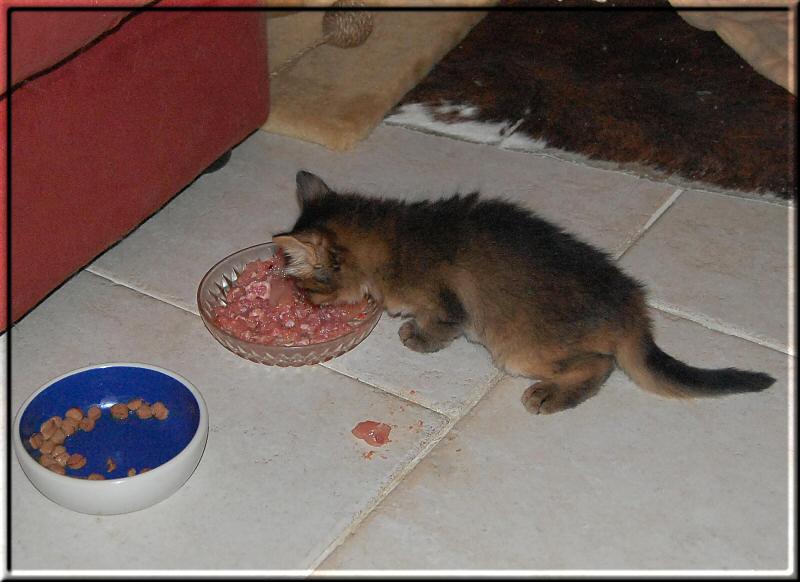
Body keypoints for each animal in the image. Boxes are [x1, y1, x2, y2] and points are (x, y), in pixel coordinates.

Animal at [272, 171, 772, 418]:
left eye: (305, 286)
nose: (300, 300)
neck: (394, 234)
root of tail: (632, 307)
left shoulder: (448, 307)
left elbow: (436, 328)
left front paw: (415, 337)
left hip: (518, 351)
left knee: (601, 363)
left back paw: (550, 396)